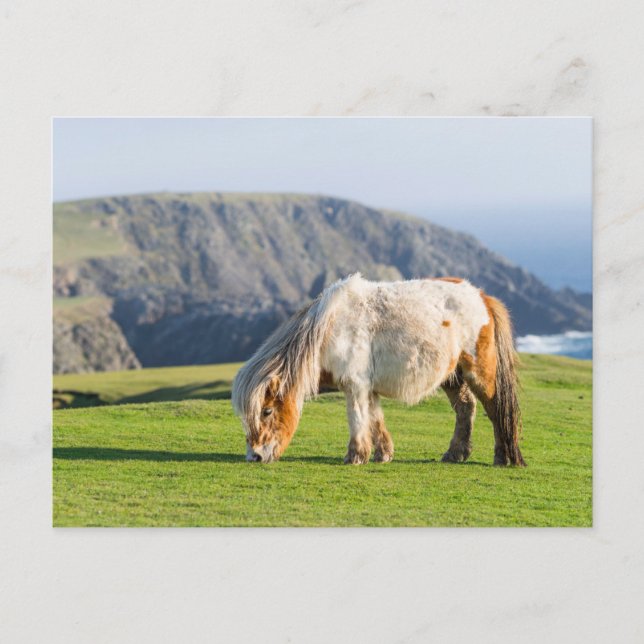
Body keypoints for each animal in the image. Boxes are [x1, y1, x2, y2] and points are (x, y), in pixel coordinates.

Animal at [231, 273, 525, 466]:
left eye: (267, 411)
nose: (254, 456)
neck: (330, 328)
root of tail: (482, 297)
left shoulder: (355, 385)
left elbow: (358, 418)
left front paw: (355, 456)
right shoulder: (367, 388)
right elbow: (375, 419)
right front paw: (382, 454)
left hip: (480, 373)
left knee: (495, 409)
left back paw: (502, 457)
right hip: (452, 376)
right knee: (466, 408)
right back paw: (456, 454)